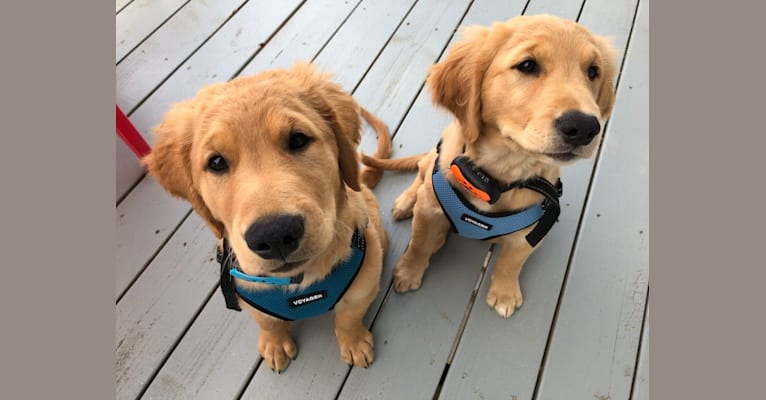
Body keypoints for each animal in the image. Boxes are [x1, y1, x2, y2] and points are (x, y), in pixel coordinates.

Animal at [144, 62, 392, 372]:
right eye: (216, 162)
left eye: (298, 139)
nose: (275, 235)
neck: (298, 285)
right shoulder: (246, 294)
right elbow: (268, 322)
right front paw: (274, 344)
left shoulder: (363, 286)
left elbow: (348, 317)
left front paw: (354, 342)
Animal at [364, 14, 620, 318]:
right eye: (527, 65)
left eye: (593, 71)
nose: (584, 128)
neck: (499, 175)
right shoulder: (429, 209)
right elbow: (420, 242)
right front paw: (409, 271)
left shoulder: (532, 230)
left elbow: (511, 263)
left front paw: (505, 293)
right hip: (431, 165)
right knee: (422, 172)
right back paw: (405, 202)